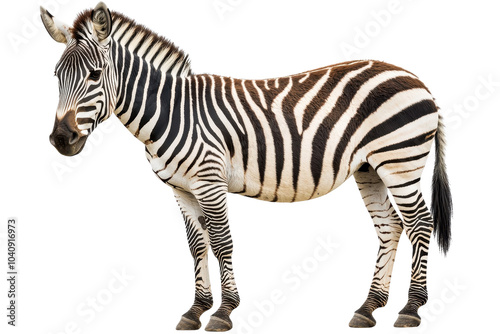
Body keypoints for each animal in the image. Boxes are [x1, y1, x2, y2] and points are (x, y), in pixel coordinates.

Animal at [40, 2, 454, 330]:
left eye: (94, 75)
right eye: (56, 76)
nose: (60, 139)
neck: (172, 113)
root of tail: (418, 81)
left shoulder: (209, 181)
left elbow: (222, 241)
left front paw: (224, 312)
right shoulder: (181, 188)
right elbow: (196, 245)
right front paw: (196, 309)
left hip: (399, 162)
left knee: (420, 223)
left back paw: (411, 307)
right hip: (370, 168)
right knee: (390, 226)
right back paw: (369, 307)